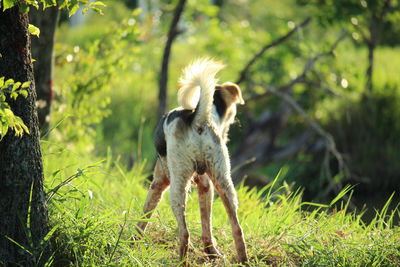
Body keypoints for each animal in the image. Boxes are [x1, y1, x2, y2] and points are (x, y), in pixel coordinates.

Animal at [138, 57, 250, 264]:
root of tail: (198, 119)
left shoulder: (158, 183)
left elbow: (144, 216)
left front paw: (132, 241)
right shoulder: (206, 186)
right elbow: (207, 227)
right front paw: (211, 252)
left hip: (177, 186)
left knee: (185, 233)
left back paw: (182, 261)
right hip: (224, 184)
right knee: (237, 229)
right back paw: (243, 260)